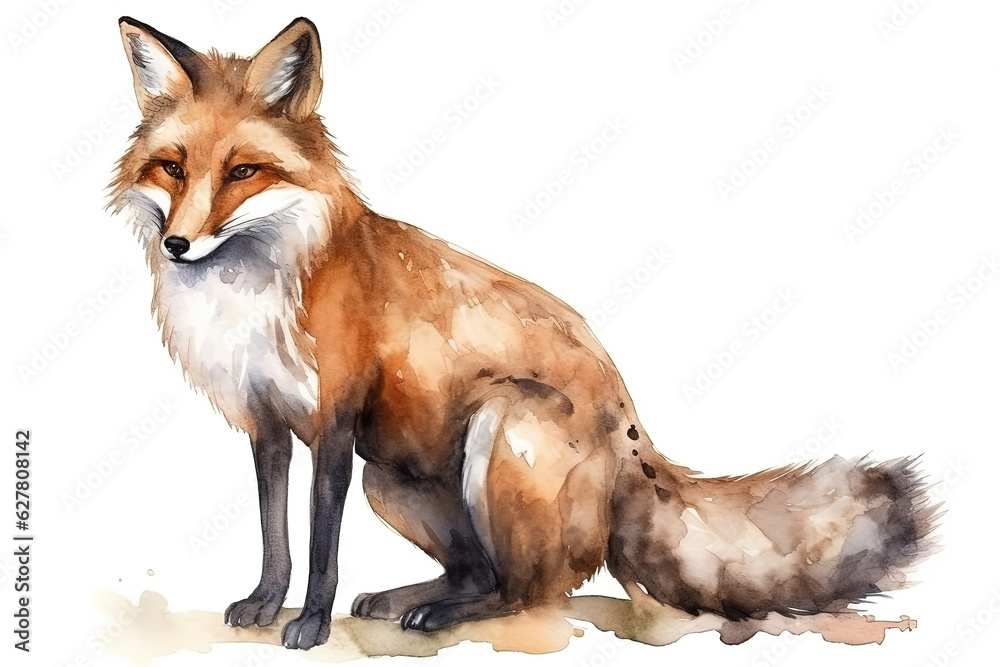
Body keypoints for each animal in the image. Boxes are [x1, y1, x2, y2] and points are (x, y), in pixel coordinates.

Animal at [109, 16, 938, 651]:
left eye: (243, 171)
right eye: (173, 168)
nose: (179, 245)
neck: (257, 288)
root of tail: (634, 434)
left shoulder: (336, 423)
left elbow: (319, 552)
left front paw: (308, 624)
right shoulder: (269, 424)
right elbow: (275, 538)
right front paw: (262, 602)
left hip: (498, 428)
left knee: (524, 589)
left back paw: (436, 611)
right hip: (392, 478)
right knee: (484, 571)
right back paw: (409, 597)